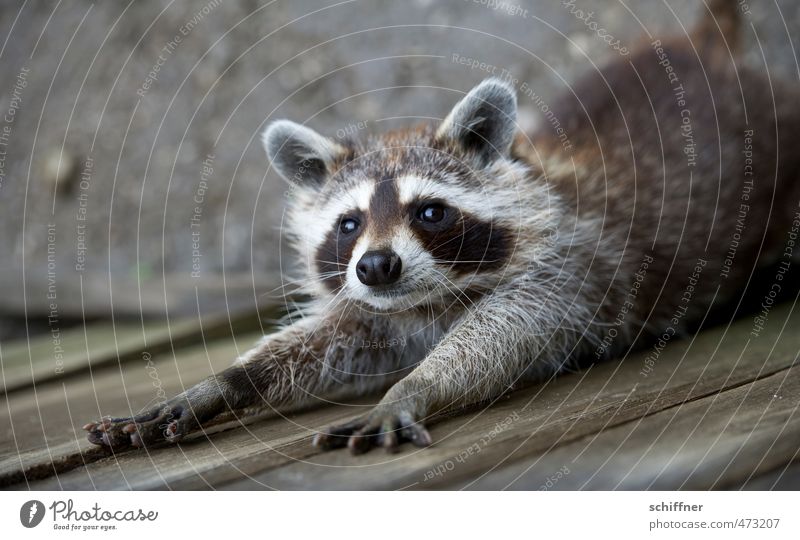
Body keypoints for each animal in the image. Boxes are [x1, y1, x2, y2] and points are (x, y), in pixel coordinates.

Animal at [84, 1, 800, 456]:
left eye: (429, 212)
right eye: (348, 224)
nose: (377, 266)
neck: (427, 300)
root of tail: (706, 51)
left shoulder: (567, 273)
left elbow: (502, 336)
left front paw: (414, 386)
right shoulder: (379, 307)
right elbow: (330, 340)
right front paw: (226, 382)